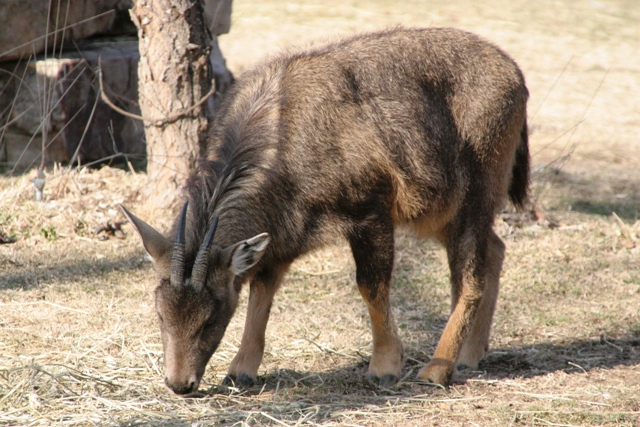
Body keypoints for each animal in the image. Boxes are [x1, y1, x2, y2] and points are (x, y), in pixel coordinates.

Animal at [121, 25, 528, 394]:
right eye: (160, 313)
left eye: (210, 317)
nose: (179, 384)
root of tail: (517, 76)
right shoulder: (279, 237)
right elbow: (262, 293)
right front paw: (240, 372)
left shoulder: (370, 211)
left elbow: (371, 285)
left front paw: (385, 367)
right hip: (441, 212)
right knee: (495, 249)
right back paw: (471, 356)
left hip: (475, 192)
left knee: (470, 279)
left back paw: (437, 370)